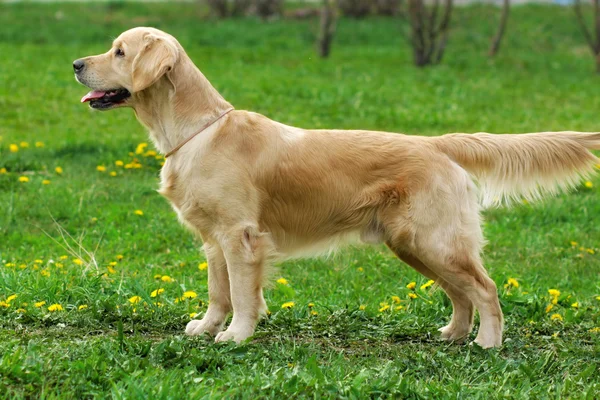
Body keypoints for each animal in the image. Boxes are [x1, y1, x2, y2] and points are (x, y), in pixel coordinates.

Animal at [75, 27, 600, 346]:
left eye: (119, 52)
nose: (77, 63)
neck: (197, 131)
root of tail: (437, 143)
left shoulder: (241, 236)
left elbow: (243, 295)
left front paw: (237, 336)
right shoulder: (212, 239)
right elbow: (218, 291)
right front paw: (206, 327)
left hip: (435, 239)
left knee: (485, 289)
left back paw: (487, 343)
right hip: (414, 244)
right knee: (461, 293)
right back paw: (453, 334)